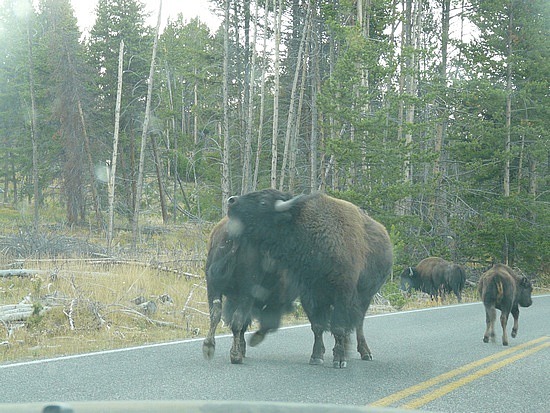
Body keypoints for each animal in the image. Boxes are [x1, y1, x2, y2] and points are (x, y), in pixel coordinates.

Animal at [203, 216, 298, 364]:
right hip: (246, 292)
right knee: (237, 320)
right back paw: (236, 356)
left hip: (213, 286)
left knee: (216, 313)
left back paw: (209, 347)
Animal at [226, 188, 394, 366]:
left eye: (263, 202)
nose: (231, 201)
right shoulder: (309, 295)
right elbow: (317, 326)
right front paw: (316, 357)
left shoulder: (343, 293)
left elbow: (338, 326)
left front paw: (339, 360)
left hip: (365, 297)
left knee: (359, 323)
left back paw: (365, 353)